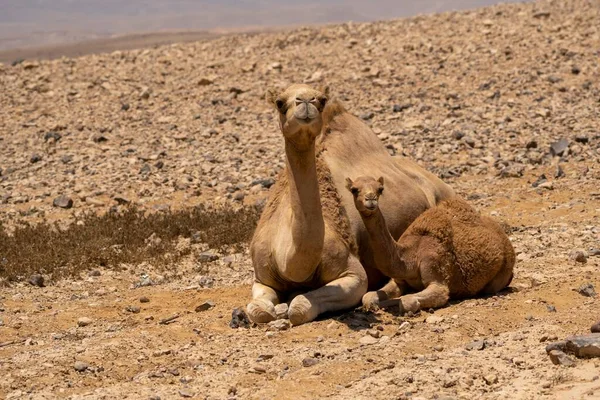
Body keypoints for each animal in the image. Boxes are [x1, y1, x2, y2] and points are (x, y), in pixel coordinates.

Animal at [346, 176, 516, 312]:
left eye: (380, 189)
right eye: (354, 190)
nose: (370, 200)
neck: (410, 257)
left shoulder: (436, 274)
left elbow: (408, 301)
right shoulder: (398, 280)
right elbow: (368, 296)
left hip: (501, 276)